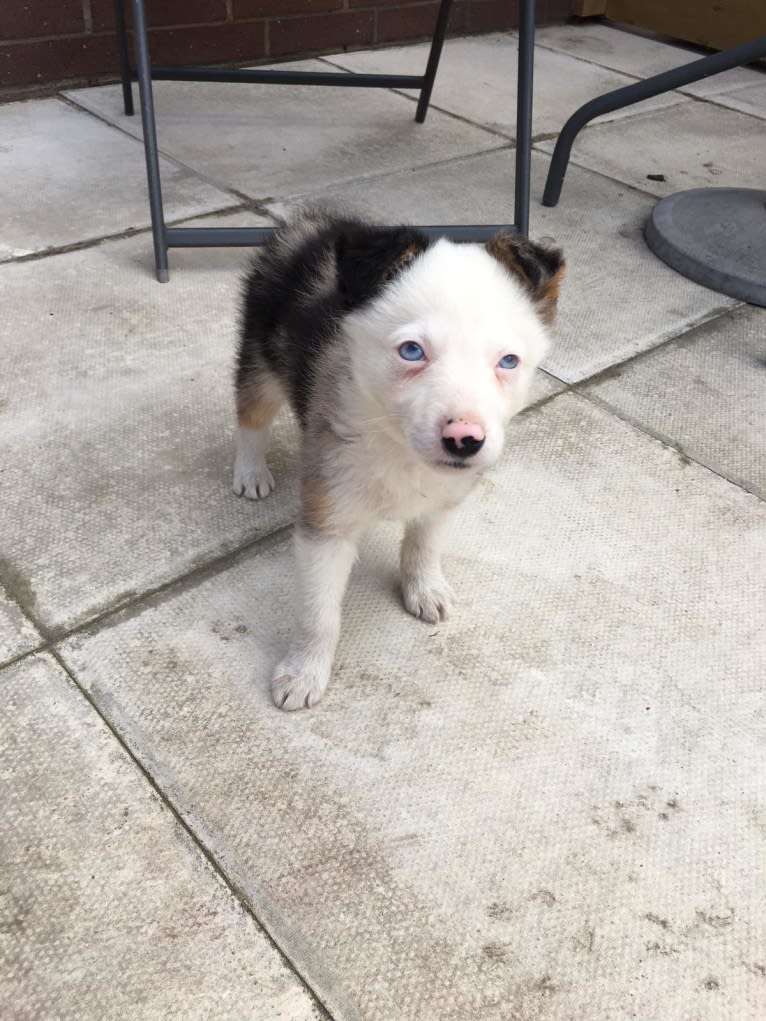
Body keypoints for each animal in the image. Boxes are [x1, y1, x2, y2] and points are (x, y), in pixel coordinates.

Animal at [233, 203, 563, 706]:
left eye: (508, 361)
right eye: (411, 351)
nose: (464, 440)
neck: (398, 447)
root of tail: (314, 221)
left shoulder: (444, 499)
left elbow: (423, 545)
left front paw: (424, 588)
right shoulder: (327, 523)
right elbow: (318, 613)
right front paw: (303, 673)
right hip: (260, 352)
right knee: (250, 413)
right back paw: (250, 472)